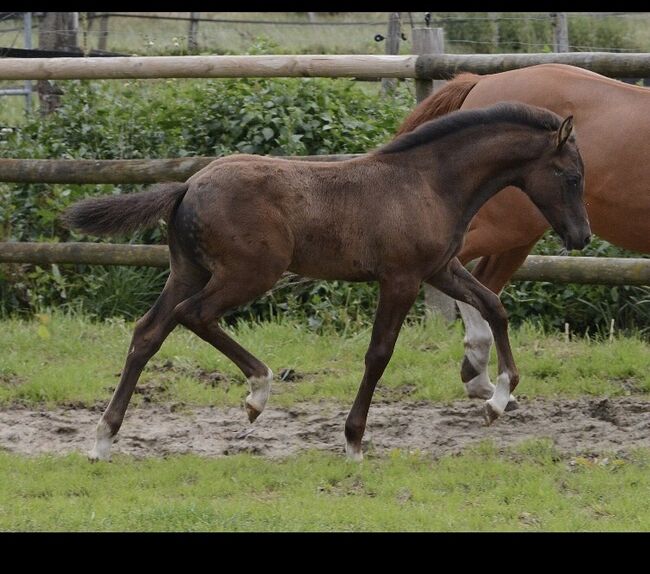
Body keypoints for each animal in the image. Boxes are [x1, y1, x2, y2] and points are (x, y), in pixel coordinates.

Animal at [64, 102, 588, 464]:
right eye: (571, 176)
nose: (581, 236)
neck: (428, 184)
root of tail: (188, 185)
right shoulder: (400, 278)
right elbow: (379, 353)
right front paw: (354, 441)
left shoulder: (439, 268)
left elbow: (494, 305)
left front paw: (499, 398)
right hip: (249, 272)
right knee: (193, 315)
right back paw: (258, 390)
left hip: (187, 270)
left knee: (148, 333)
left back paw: (103, 440)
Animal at [394, 64, 648, 410]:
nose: (583, 237)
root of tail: (482, 81)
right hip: (508, 228)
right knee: (464, 270)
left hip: (515, 237)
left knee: (483, 284)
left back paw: (483, 381)